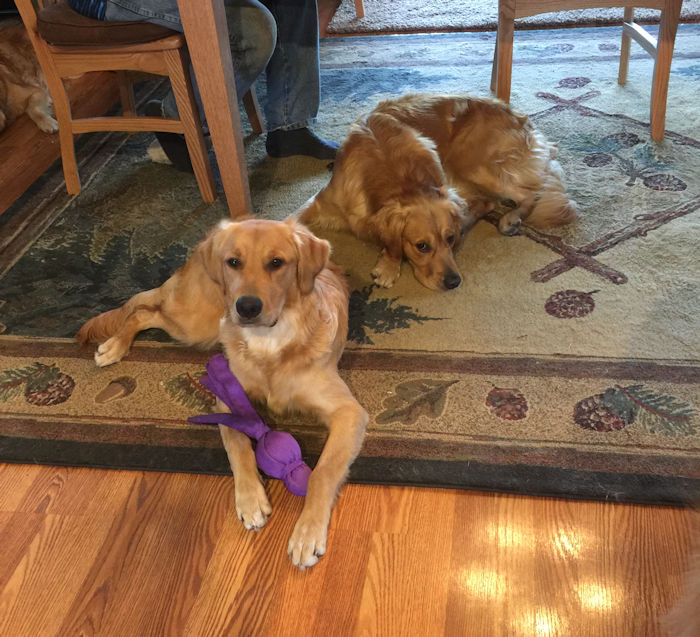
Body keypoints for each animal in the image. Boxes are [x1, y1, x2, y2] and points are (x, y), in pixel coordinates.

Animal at [76, 216, 370, 568]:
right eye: (234, 262)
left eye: (276, 263)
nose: (246, 307)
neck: (271, 339)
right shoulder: (229, 399)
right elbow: (237, 446)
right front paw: (251, 500)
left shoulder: (348, 412)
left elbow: (322, 472)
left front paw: (307, 533)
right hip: (196, 323)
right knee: (143, 311)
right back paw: (113, 346)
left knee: (146, 311)